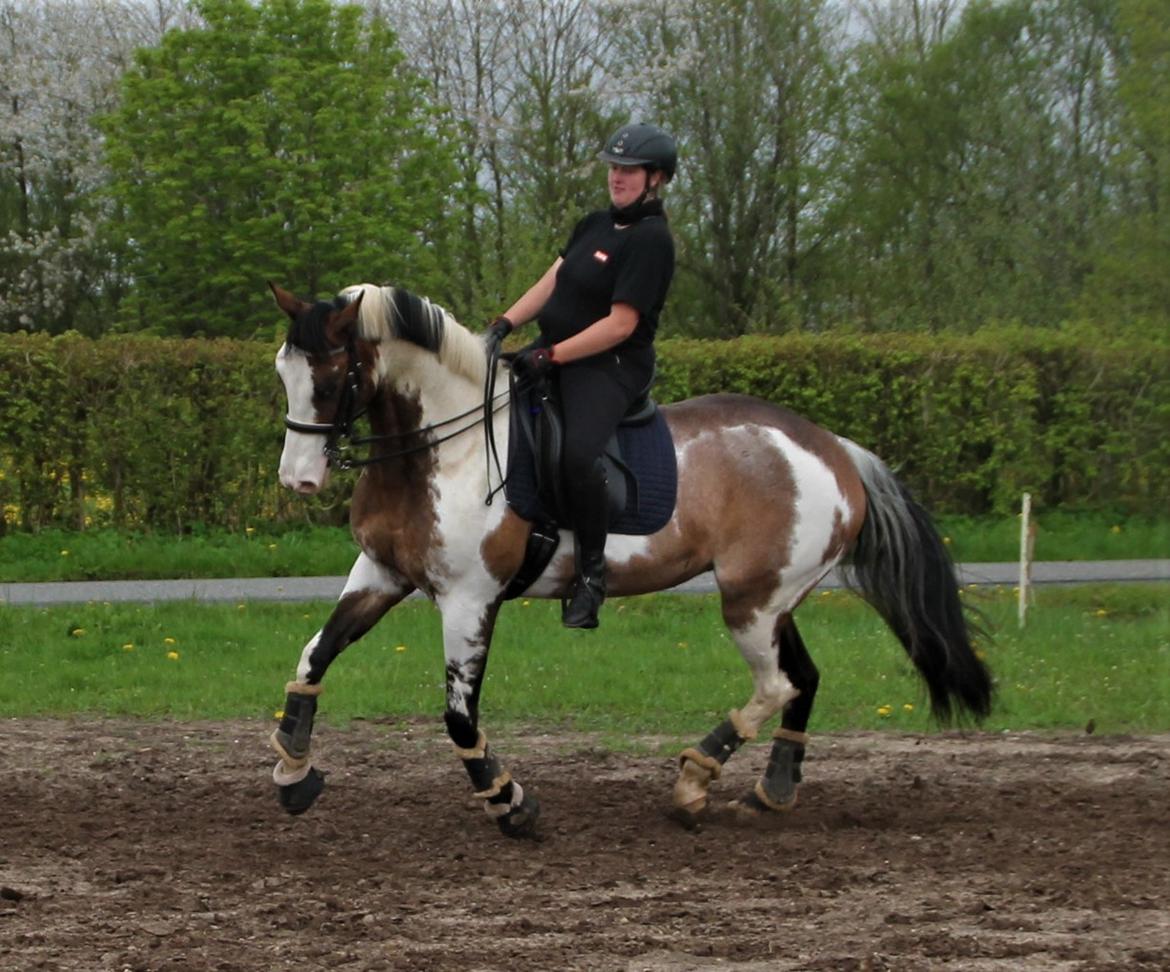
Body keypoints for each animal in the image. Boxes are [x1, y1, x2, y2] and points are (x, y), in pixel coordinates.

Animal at [269, 279, 992, 837]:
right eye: (283, 373)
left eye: (329, 379)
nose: (297, 481)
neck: (442, 450)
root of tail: (833, 447)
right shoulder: (381, 575)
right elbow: (312, 657)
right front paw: (292, 770)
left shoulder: (470, 599)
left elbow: (457, 716)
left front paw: (510, 802)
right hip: (777, 598)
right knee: (804, 679)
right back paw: (772, 790)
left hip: (752, 602)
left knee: (777, 685)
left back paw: (695, 782)